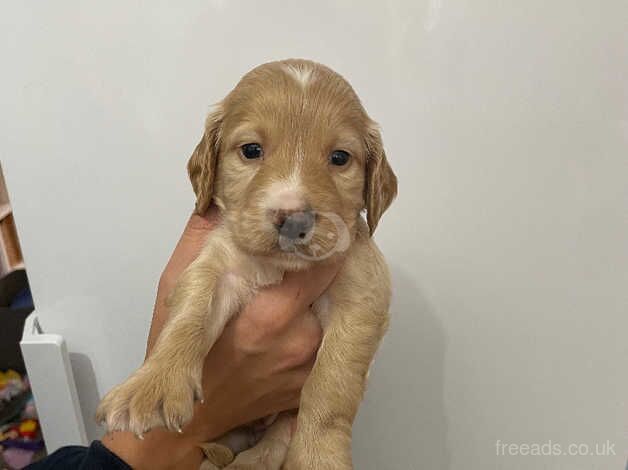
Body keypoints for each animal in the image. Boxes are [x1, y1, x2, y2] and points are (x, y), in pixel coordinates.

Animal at [98, 59, 398, 470]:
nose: (294, 219)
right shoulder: (218, 263)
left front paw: (319, 457)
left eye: (339, 158)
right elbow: (190, 312)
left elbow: (332, 383)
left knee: (274, 442)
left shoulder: (362, 294)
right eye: (251, 150)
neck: (281, 268)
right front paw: (153, 384)